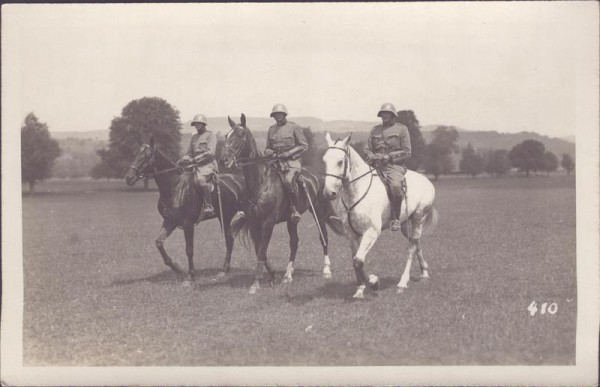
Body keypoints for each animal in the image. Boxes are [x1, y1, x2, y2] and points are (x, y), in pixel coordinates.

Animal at [124, 139, 246, 282]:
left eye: (147, 155)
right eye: (136, 154)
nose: (129, 178)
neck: (175, 186)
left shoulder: (188, 224)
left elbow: (189, 249)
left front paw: (191, 275)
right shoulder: (170, 222)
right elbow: (159, 242)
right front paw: (178, 269)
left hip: (225, 218)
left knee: (230, 240)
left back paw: (224, 270)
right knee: (230, 240)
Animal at [220, 114, 342, 294]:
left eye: (240, 135)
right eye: (227, 135)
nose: (224, 160)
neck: (260, 184)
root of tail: (318, 176)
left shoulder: (268, 223)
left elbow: (262, 250)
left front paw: (256, 283)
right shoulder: (254, 223)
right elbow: (260, 251)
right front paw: (272, 275)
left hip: (318, 212)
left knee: (324, 236)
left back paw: (326, 270)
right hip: (292, 220)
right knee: (294, 242)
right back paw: (288, 274)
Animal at [322, 132, 438, 298]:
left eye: (340, 161)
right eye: (324, 160)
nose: (328, 193)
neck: (356, 191)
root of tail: (426, 180)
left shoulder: (371, 232)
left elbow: (358, 260)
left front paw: (373, 283)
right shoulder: (351, 235)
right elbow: (355, 261)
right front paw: (360, 289)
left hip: (418, 217)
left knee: (411, 248)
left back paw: (402, 283)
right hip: (405, 224)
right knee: (416, 244)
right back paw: (424, 273)